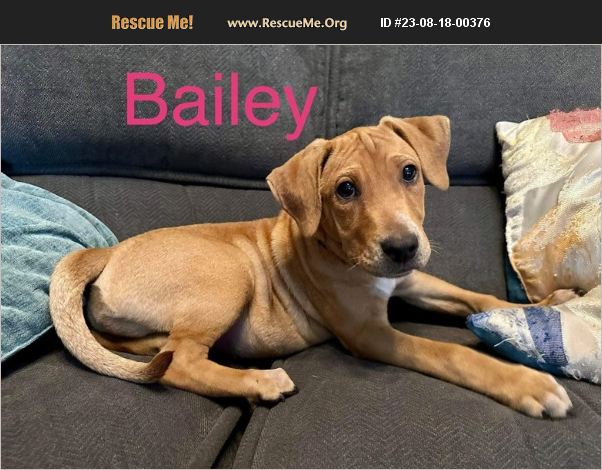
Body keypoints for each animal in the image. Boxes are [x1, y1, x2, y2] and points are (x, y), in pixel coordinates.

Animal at [49, 115, 576, 418]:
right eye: (345, 190)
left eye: (409, 172)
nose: (403, 246)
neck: (346, 255)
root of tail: (105, 253)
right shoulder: (369, 334)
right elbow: (450, 353)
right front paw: (525, 383)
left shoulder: (409, 280)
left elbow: (474, 296)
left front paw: (546, 304)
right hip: (229, 273)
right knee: (179, 363)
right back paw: (258, 381)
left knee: (157, 349)